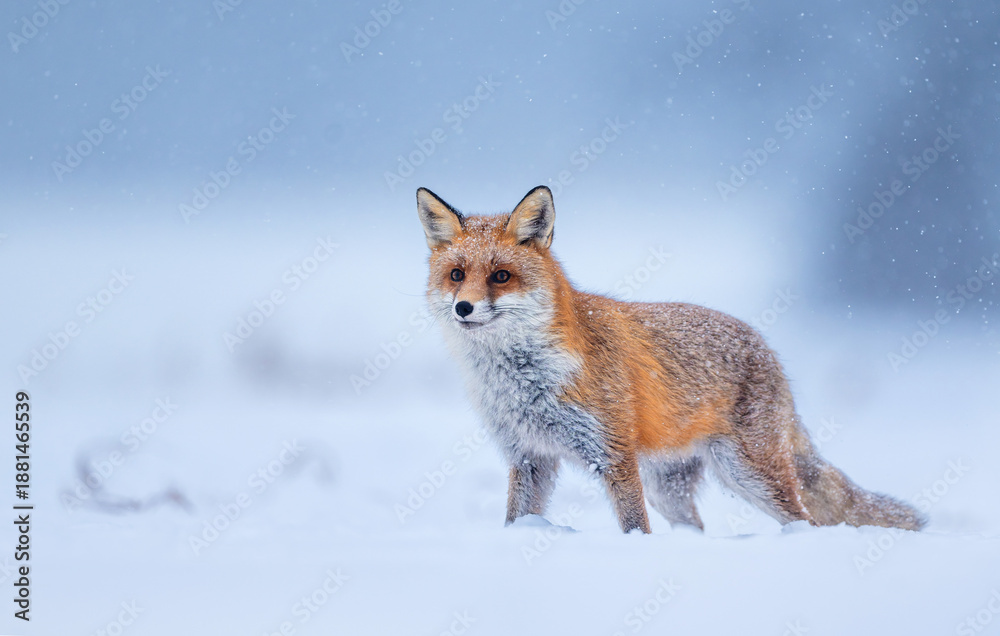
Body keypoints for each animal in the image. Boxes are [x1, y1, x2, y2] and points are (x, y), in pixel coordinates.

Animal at [416, 185, 926, 534]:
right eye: (457, 275)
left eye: (501, 276)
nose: (464, 308)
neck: (523, 379)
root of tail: (765, 346)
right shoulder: (528, 456)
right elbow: (516, 519)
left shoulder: (613, 454)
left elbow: (634, 527)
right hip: (670, 488)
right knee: (695, 526)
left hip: (749, 475)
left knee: (806, 520)